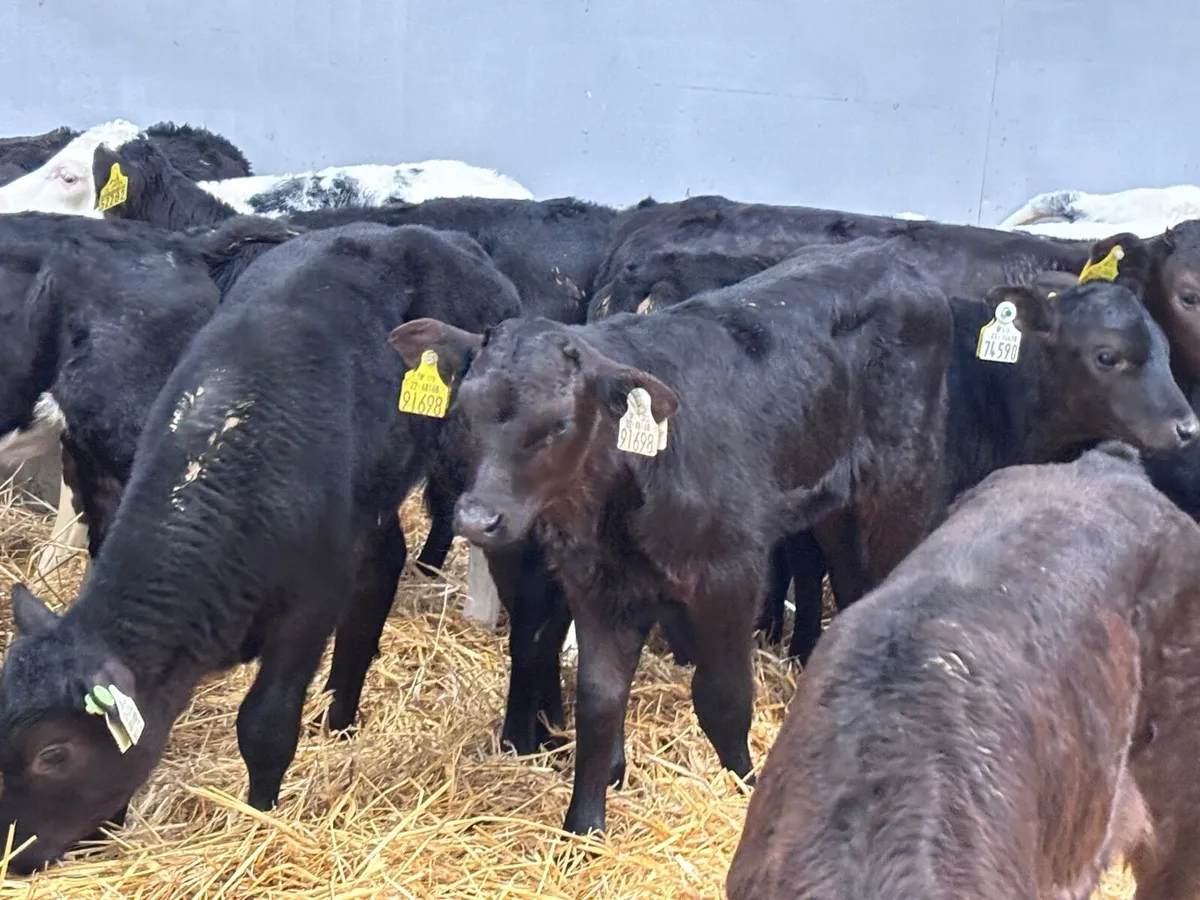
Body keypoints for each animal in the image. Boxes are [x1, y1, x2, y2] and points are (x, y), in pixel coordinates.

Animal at [0, 221, 523, 874]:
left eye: (53, 753)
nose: (11, 856)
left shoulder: (310, 603)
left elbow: (265, 724)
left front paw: (260, 816)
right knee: (383, 564)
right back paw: (339, 713)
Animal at [389, 238, 960, 834]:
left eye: (558, 426)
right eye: (463, 411)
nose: (477, 520)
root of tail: (888, 253)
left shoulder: (731, 576)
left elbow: (723, 697)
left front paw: (744, 785)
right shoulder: (597, 584)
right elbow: (598, 700)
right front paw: (584, 825)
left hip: (902, 488)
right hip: (838, 509)